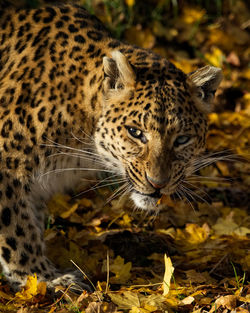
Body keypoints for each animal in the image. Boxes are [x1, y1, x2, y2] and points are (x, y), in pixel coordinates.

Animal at [0, 1, 223, 292]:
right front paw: (40, 277)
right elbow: (16, 228)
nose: (158, 184)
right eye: (135, 132)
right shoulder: (8, 167)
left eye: (182, 139)